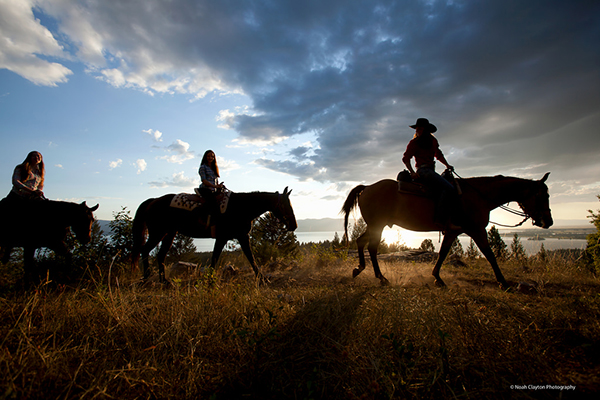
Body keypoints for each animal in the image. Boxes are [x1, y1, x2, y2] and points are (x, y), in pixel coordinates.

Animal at [134, 187, 298, 282]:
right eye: (286, 205)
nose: (294, 226)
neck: (241, 207)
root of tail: (153, 201)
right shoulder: (226, 237)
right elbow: (220, 258)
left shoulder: (239, 236)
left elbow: (247, 257)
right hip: (158, 233)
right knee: (145, 250)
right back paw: (147, 277)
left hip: (169, 234)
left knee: (160, 255)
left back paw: (164, 281)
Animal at [342, 172, 552, 288]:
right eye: (543, 195)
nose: (548, 221)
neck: (477, 196)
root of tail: (367, 187)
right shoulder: (476, 230)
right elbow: (490, 254)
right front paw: (503, 282)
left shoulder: (453, 232)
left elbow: (443, 253)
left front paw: (437, 278)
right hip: (377, 225)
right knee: (372, 247)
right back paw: (381, 277)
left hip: (375, 225)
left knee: (361, 242)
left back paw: (359, 269)